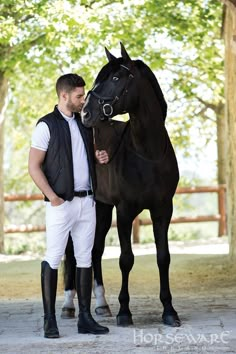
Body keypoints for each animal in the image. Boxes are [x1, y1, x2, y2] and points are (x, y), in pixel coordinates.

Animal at [61, 42, 180, 328]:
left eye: (115, 78)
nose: (86, 113)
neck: (147, 155)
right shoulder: (125, 211)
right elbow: (126, 259)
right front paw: (125, 311)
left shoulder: (163, 211)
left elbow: (163, 257)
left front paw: (169, 310)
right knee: (70, 253)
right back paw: (68, 305)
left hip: (101, 208)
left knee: (94, 251)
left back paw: (102, 305)